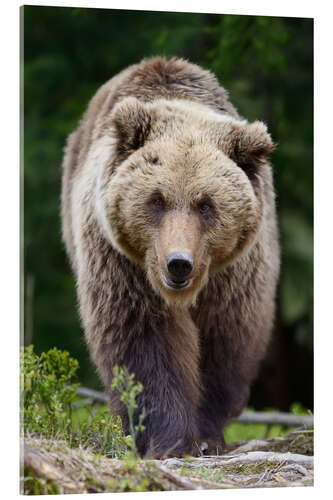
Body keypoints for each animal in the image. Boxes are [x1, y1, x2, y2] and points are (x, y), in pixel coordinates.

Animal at [61, 56, 278, 458]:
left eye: (206, 204)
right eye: (156, 199)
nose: (178, 263)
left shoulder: (235, 276)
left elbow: (224, 341)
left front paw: (206, 435)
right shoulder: (124, 264)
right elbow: (145, 342)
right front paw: (169, 439)